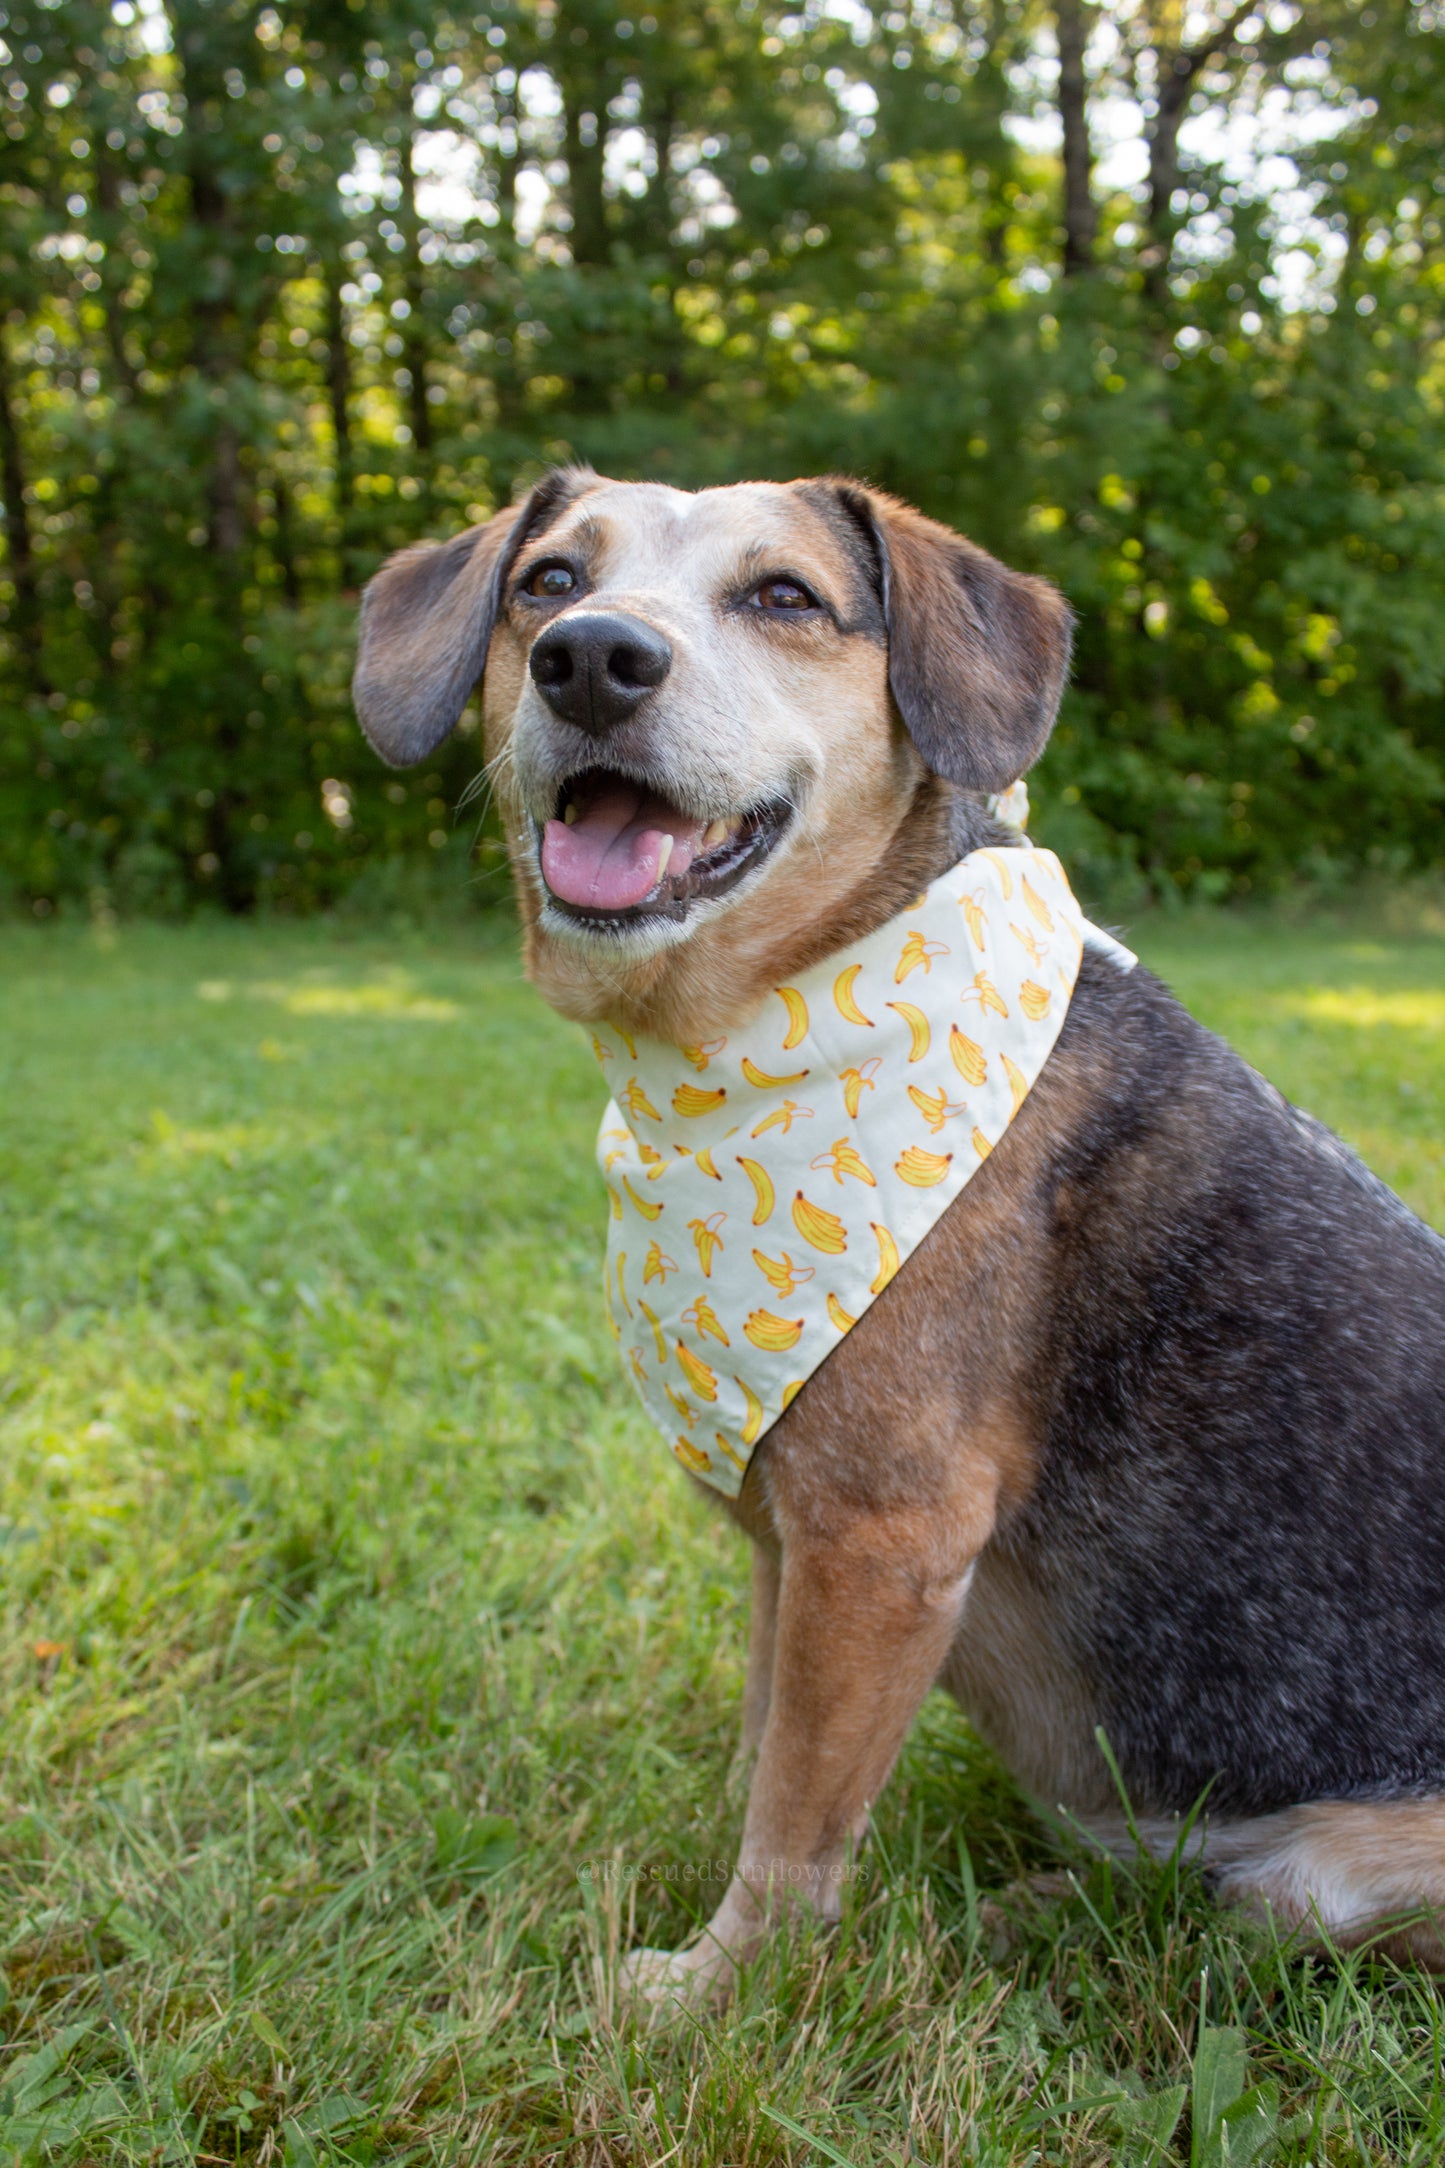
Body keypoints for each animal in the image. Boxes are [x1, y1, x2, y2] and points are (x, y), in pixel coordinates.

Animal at [350, 470, 1445, 1994]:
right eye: (548, 582)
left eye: (784, 596)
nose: (593, 659)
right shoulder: (788, 1548)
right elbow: (768, 1760)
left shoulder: (878, 1544)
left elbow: (793, 1829)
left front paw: (715, 1997)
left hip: (1339, 1875)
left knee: (1250, 1917)